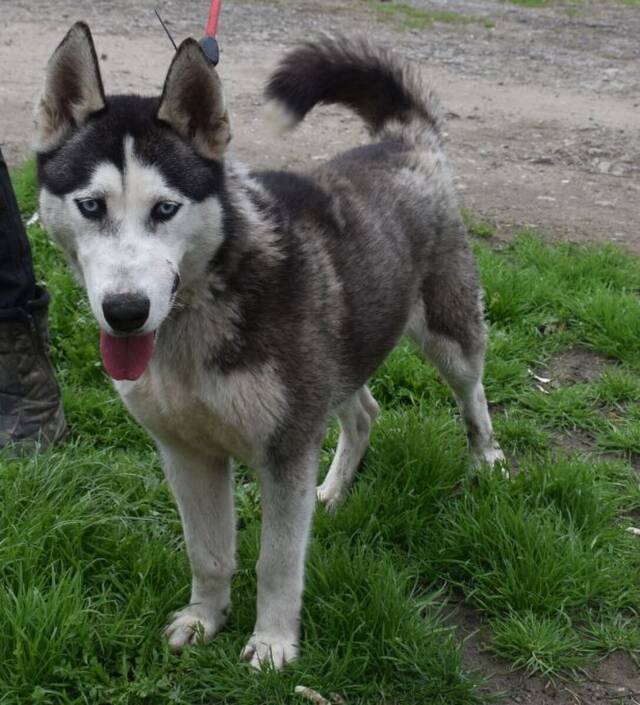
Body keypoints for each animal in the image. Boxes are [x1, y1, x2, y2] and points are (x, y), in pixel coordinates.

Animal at [35, 23, 504, 669]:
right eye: (90, 205)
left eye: (165, 208)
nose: (125, 312)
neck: (197, 315)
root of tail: (401, 141)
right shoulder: (186, 452)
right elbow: (209, 552)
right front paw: (205, 619)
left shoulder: (285, 451)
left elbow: (277, 562)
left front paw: (273, 644)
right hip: (338, 362)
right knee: (365, 412)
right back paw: (332, 488)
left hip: (447, 335)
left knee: (473, 393)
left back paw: (485, 458)